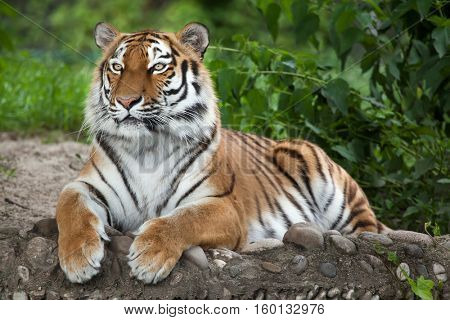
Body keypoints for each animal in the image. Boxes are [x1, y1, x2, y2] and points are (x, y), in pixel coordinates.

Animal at [56, 21, 388, 284]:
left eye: (157, 67)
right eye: (117, 67)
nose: (126, 101)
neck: (146, 147)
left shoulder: (223, 206)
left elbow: (183, 219)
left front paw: (149, 256)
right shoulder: (87, 185)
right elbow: (69, 205)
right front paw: (78, 259)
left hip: (330, 185)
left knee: (370, 231)